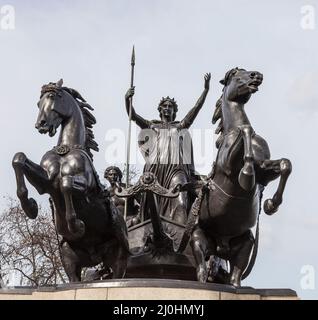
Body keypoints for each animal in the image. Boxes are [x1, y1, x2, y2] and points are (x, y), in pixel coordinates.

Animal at [12, 80, 129, 282]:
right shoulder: (46, 183)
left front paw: (76, 226)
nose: (40, 125)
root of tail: (95, 255)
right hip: (69, 257)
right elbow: (19, 159)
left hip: (119, 255)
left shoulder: (85, 186)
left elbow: (66, 184)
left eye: (52, 97)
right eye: (38, 103)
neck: (65, 150)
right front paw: (30, 207)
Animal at [190, 68, 292, 288]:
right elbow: (246, 130)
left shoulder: (264, 172)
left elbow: (285, 164)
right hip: (198, 239)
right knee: (201, 271)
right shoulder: (228, 166)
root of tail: (220, 247)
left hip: (246, 244)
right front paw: (246, 174)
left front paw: (271, 204)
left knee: (235, 277)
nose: (257, 75)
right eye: (237, 77)